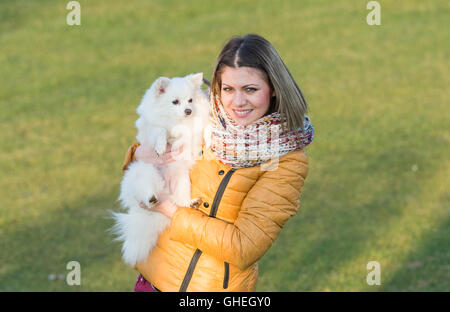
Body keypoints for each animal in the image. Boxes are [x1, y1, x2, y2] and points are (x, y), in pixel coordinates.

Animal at [112, 72, 211, 266]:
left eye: (190, 100)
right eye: (175, 102)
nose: (188, 110)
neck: (175, 120)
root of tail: (164, 190)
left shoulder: (193, 128)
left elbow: (189, 133)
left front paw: (180, 142)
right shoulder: (152, 128)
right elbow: (160, 131)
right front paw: (161, 145)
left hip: (183, 181)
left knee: (179, 203)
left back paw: (190, 203)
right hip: (143, 171)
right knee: (146, 189)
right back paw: (151, 197)